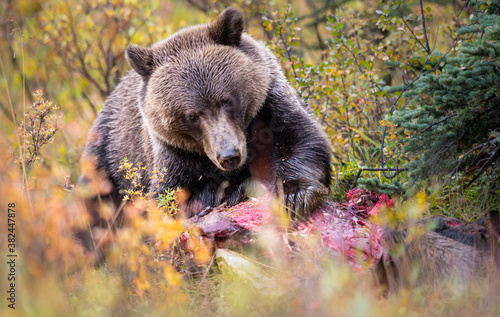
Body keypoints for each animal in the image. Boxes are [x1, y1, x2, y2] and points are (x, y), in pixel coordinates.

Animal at [82, 8, 332, 230]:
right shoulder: (172, 152)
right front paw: (220, 192)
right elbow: (167, 202)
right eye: (192, 115)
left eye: (226, 101)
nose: (229, 156)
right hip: (105, 159)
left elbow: (300, 140)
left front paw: (295, 196)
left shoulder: (269, 106)